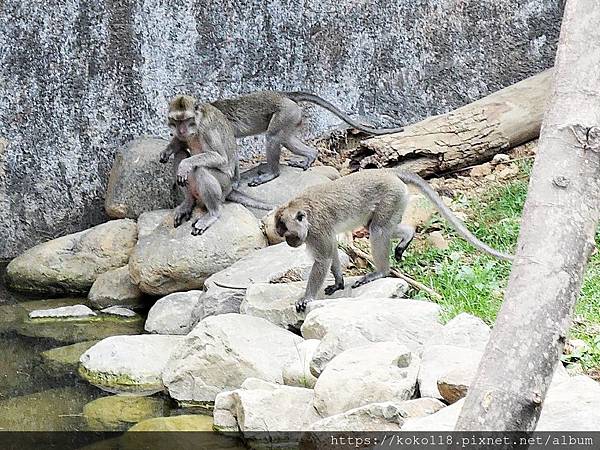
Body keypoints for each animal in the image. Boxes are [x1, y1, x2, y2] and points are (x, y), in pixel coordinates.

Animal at [274, 170, 512, 312]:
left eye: (288, 235)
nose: (291, 243)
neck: (302, 207)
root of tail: (388, 171)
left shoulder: (316, 230)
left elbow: (322, 259)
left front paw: (307, 297)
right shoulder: (320, 232)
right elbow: (332, 250)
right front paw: (339, 281)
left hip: (391, 196)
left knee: (378, 230)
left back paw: (381, 271)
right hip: (398, 198)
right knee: (379, 227)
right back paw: (407, 236)